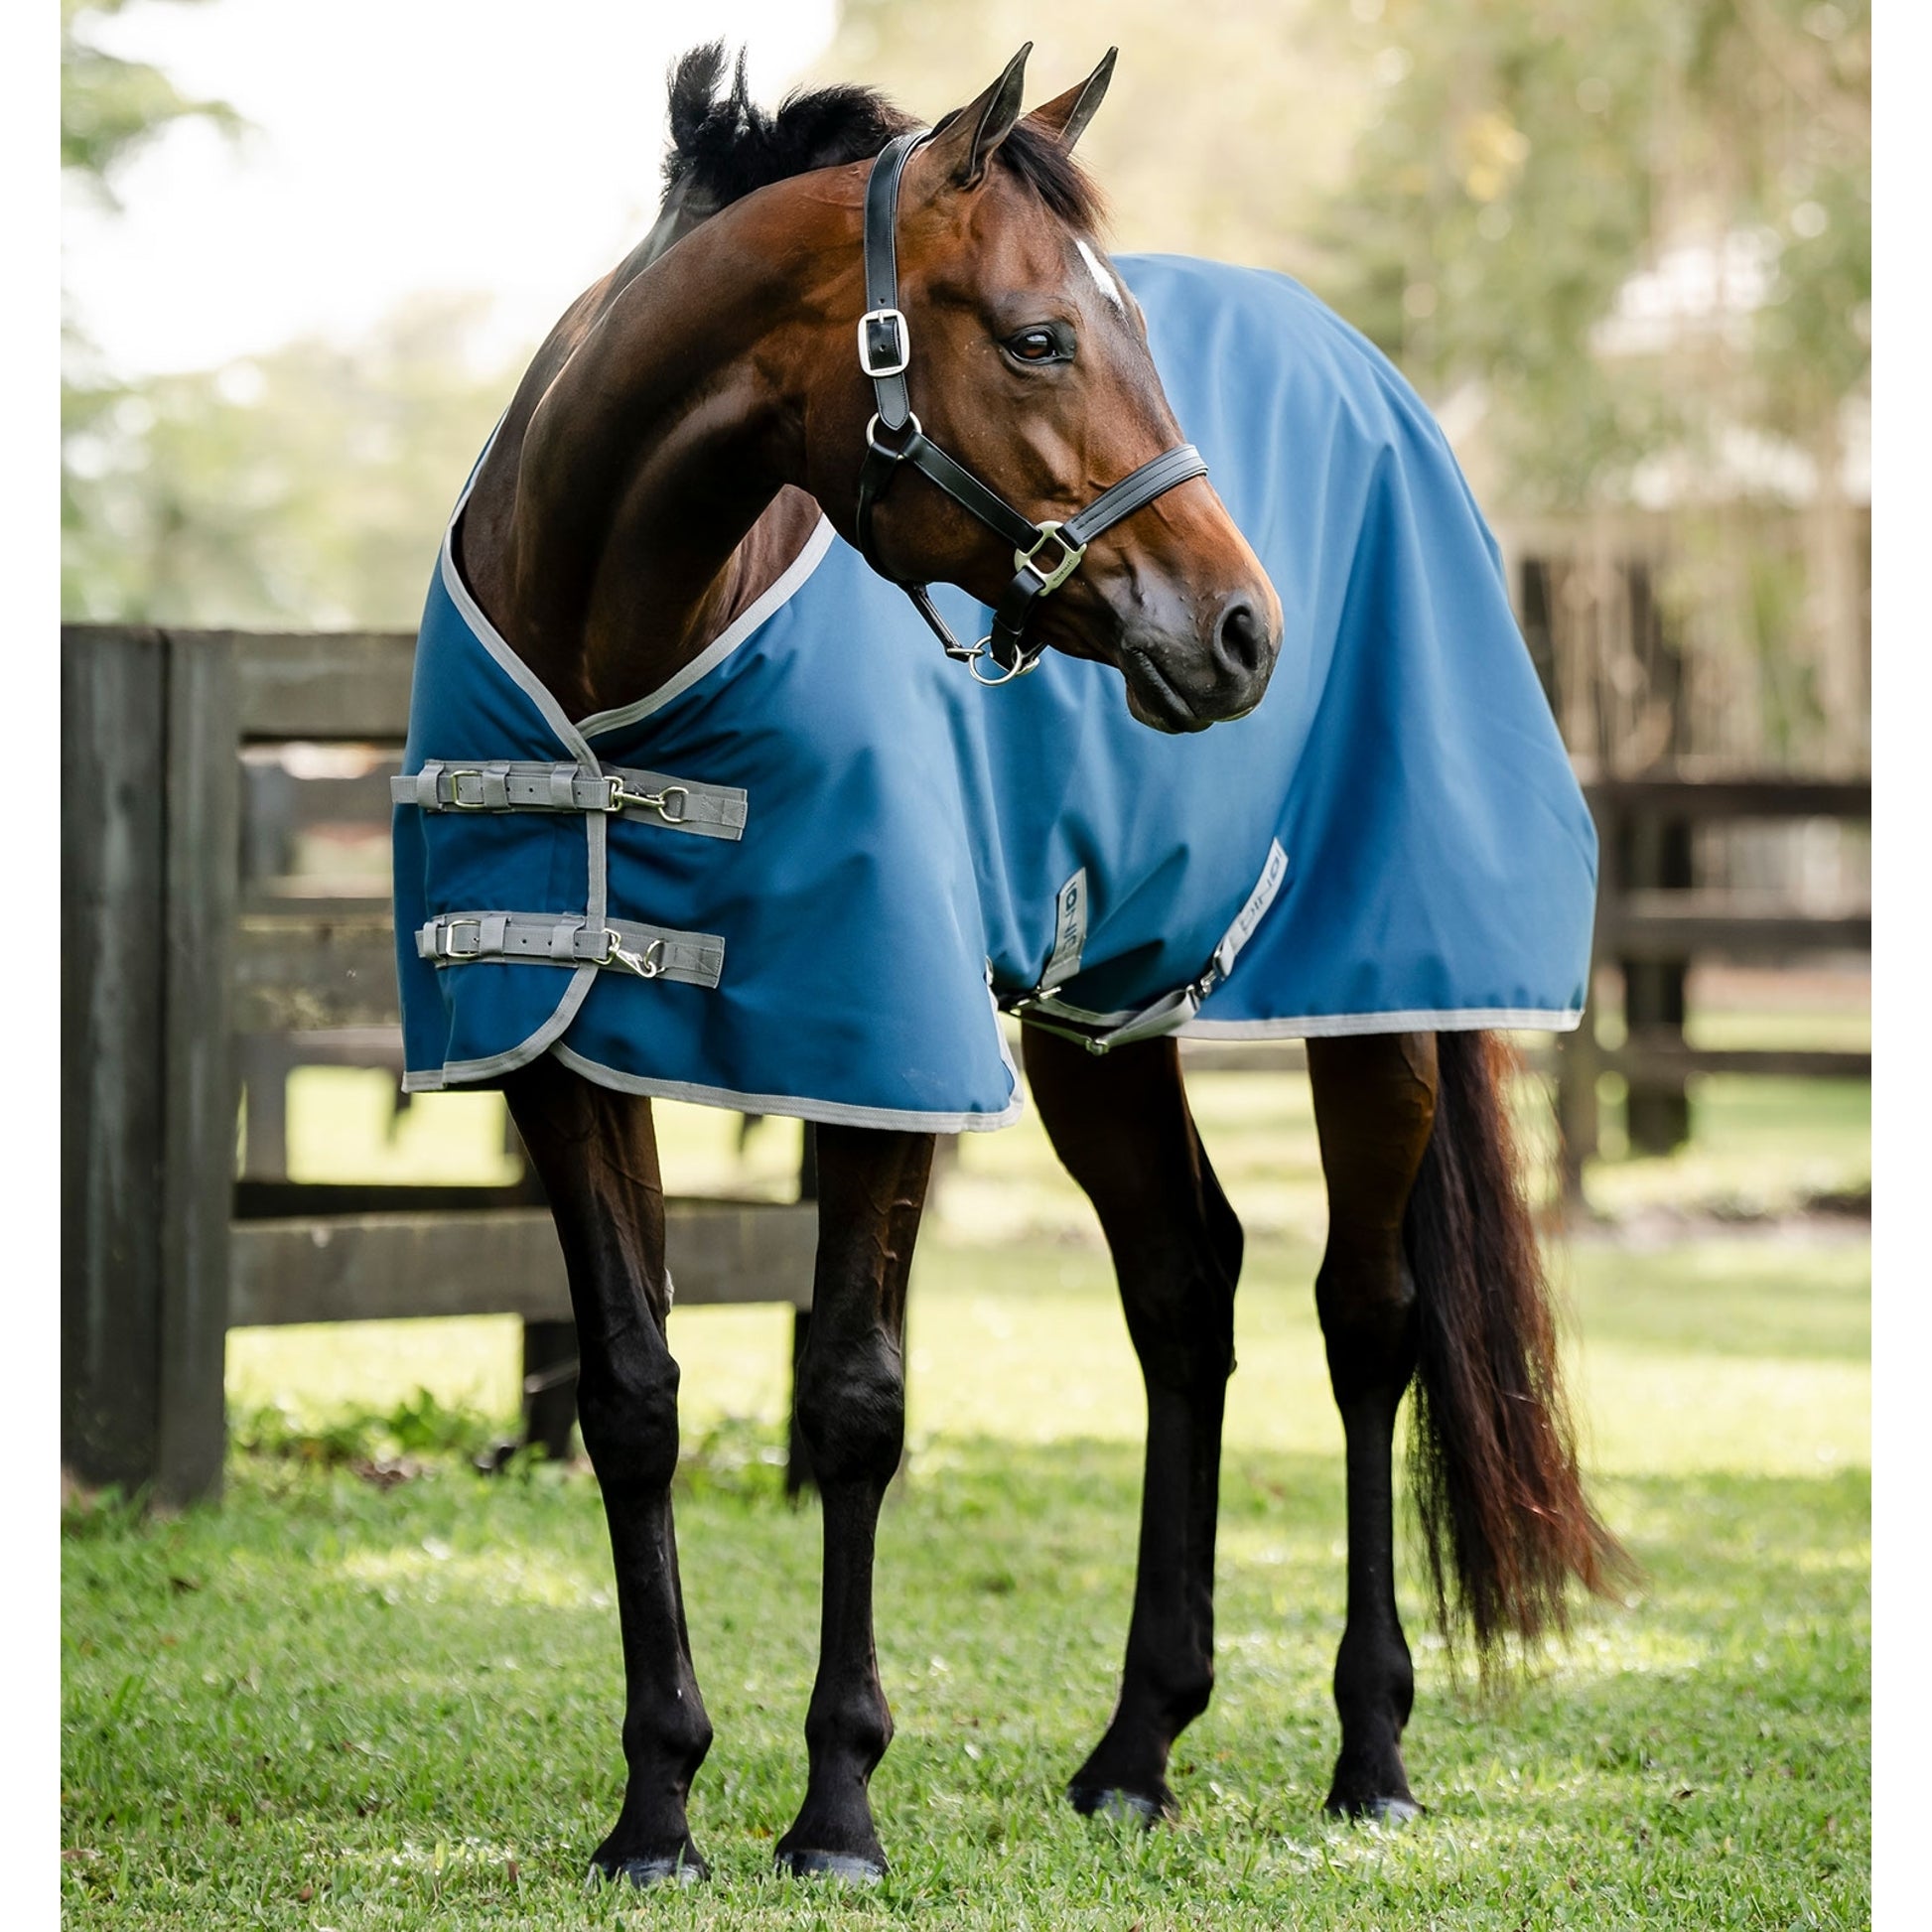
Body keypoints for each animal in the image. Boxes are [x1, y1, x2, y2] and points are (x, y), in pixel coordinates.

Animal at [394, 41, 1624, 1885]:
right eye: (1042, 337)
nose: (1243, 630)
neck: (627, 633)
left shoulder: (880, 1055)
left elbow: (853, 1401)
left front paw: (836, 1805)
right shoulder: (552, 1053)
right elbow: (630, 1395)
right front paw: (656, 1806)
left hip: (1379, 1007)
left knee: (1368, 1323)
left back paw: (1371, 1750)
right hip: (1098, 1023)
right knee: (1187, 1291)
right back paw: (1136, 1748)